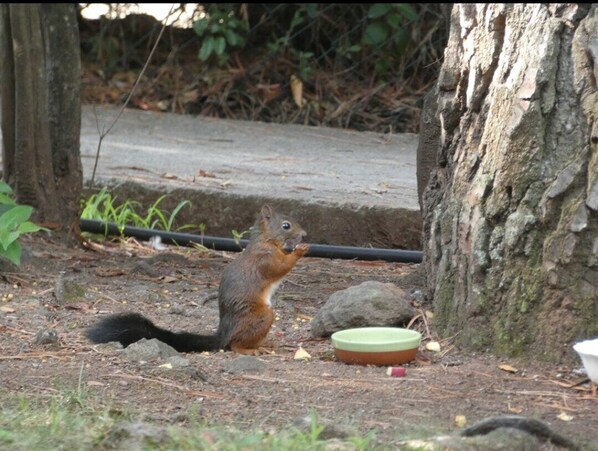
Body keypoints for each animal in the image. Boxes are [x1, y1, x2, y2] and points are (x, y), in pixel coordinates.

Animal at [86, 206, 312, 356]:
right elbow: (280, 266)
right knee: (233, 344)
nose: (304, 234)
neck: (267, 241)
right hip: (260, 316)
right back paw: (247, 349)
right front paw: (300, 250)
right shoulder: (265, 259)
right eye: (286, 225)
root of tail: (223, 333)